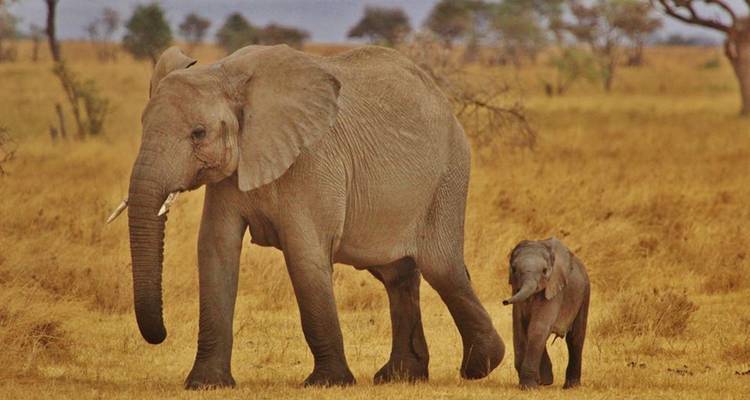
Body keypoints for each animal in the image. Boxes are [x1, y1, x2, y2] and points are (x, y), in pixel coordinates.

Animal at [109, 44, 505, 389]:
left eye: (198, 133)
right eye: (143, 125)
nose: (160, 335)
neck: (227, 75)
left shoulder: (313, 162)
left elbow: (304, 257)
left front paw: (328, 382)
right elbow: (215, 251)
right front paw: (206, 384)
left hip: (448, 175)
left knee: (442, 268)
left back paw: (481, 366)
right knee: (397, 275)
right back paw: (400, 376)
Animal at [502, 238, 590, 390]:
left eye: (544, 271)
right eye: (514, 269)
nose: (505, 301)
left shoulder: (555, 289)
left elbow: (537, 327)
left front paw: (529, 387)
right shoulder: (516, 290)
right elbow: (520, 328)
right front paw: (540, 382)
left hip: (584, 294)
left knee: (575, 339)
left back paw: (571, 386)